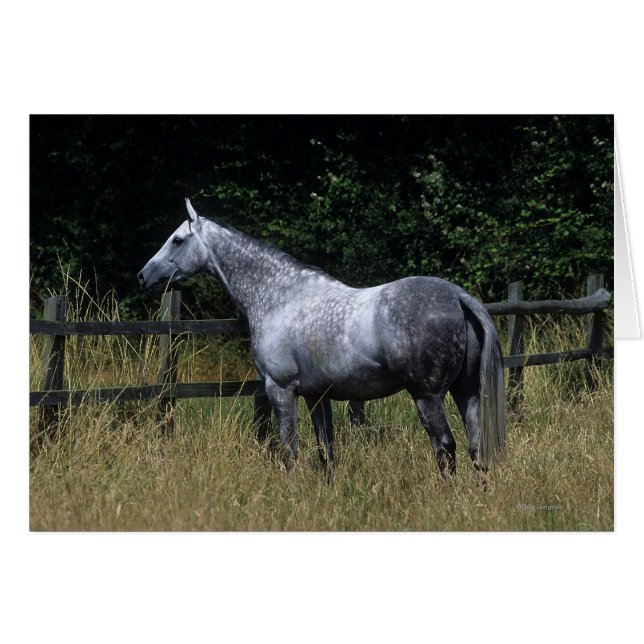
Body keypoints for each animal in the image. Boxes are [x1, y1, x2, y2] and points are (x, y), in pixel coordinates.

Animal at [138, 199, 506, 476]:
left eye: (177, 240)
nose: (143, 276)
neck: (279, 297)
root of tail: (457, 296)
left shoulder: (281, 390)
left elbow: (289, 452)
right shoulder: (317, 397)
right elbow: (326, 452)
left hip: (427, 396)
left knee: (445, 448)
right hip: (467, 392)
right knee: (475, 447)